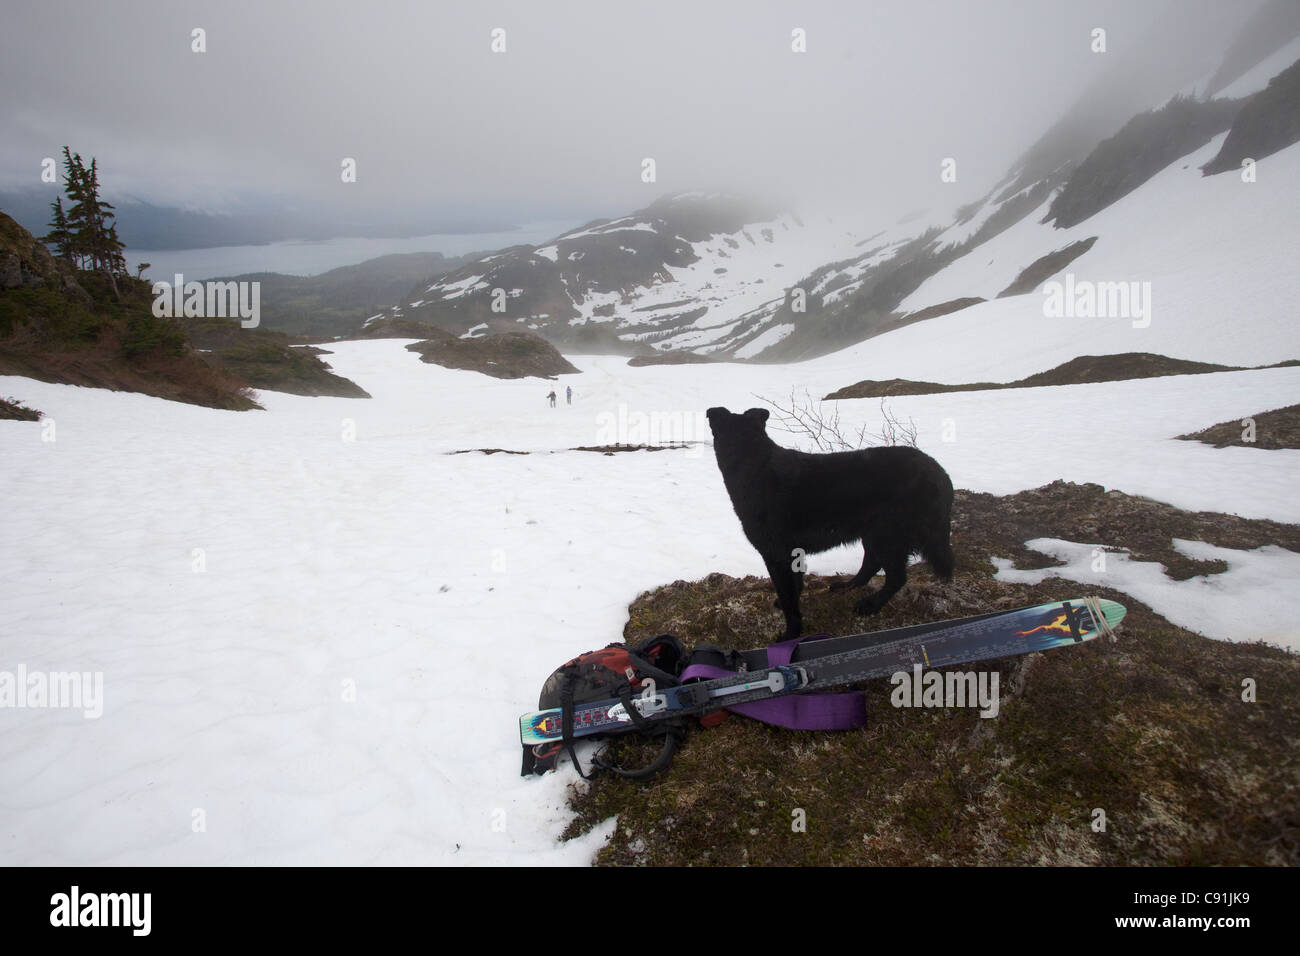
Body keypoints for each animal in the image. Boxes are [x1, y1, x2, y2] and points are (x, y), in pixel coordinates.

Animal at [712, 408, 956, 639]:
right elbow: (796, 584)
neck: (755, 466)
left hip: (888, 534)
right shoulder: (792, 552)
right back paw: (848, 586)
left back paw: (870, 605)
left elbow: (789, 598)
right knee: (871, 564)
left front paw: (791, 634)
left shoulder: (776, 555)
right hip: (874, 532)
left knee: (896, 577)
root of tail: (942, 475)